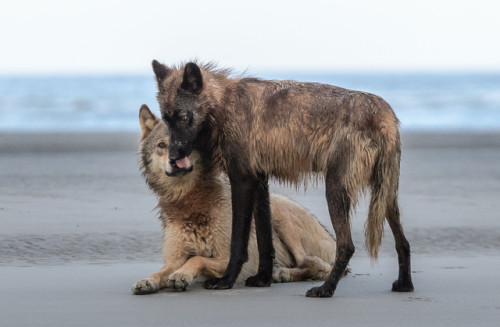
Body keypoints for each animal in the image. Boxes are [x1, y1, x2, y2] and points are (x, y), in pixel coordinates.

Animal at [131, 105, 338, 294]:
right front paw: (148, 281)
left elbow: (196, 259)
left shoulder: (226, 258)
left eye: (187, 143)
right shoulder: (174, 259)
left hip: (281, 215)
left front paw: (181, 275)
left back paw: (282, 273)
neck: (190, 201)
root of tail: (332, 237)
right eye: (161, 145)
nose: (175, 161)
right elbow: (162, 271)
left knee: (316, 265)